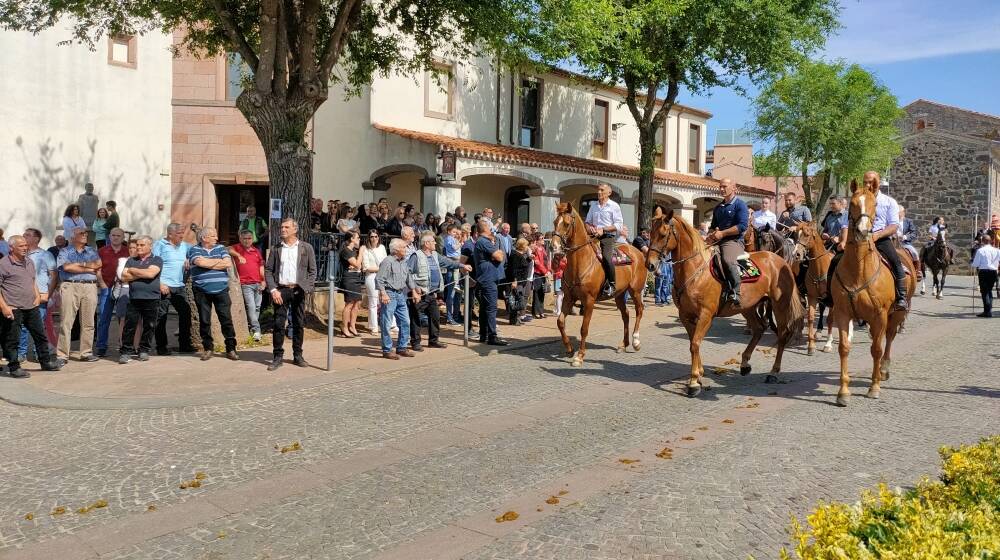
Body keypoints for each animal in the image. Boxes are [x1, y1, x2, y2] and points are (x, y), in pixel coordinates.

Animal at [548, 201, 648, 368]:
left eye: (567, 224)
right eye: (555, 222)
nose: (553, 247)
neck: (580, 262)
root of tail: (638, 252)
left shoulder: (589, 301)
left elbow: (584, 328)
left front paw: (579, 356)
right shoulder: (569, 297)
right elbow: (560, 321)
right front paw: (569, 348)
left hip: (635, 290)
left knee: (639, 311)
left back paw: (636, 341)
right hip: (619, 294)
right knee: (626, 315)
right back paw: (623, 344)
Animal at [648, 210, 804, 398]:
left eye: (663, 234)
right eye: (650, 233)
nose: (650, 264)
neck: (696, 270)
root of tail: (780, 261)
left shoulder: (705, 315)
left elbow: (695, 344)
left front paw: (693, 382)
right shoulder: (685, 315)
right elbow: (693, 343)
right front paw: (699, 373)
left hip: (779, 305)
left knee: (781, 334)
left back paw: (773, 372)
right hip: (747, 307)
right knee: (759, 328)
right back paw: (745, 364)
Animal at [828, 179, 916, 406]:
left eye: (874, 205)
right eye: (852, 204)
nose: (863, 231)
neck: (859, 269)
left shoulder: (880, 315)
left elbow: (876, 349)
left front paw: (874, 387)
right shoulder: (842, 313)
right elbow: (844, 348)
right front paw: (843, 392)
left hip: (897, 313)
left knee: (889, 338)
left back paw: (884, 369)